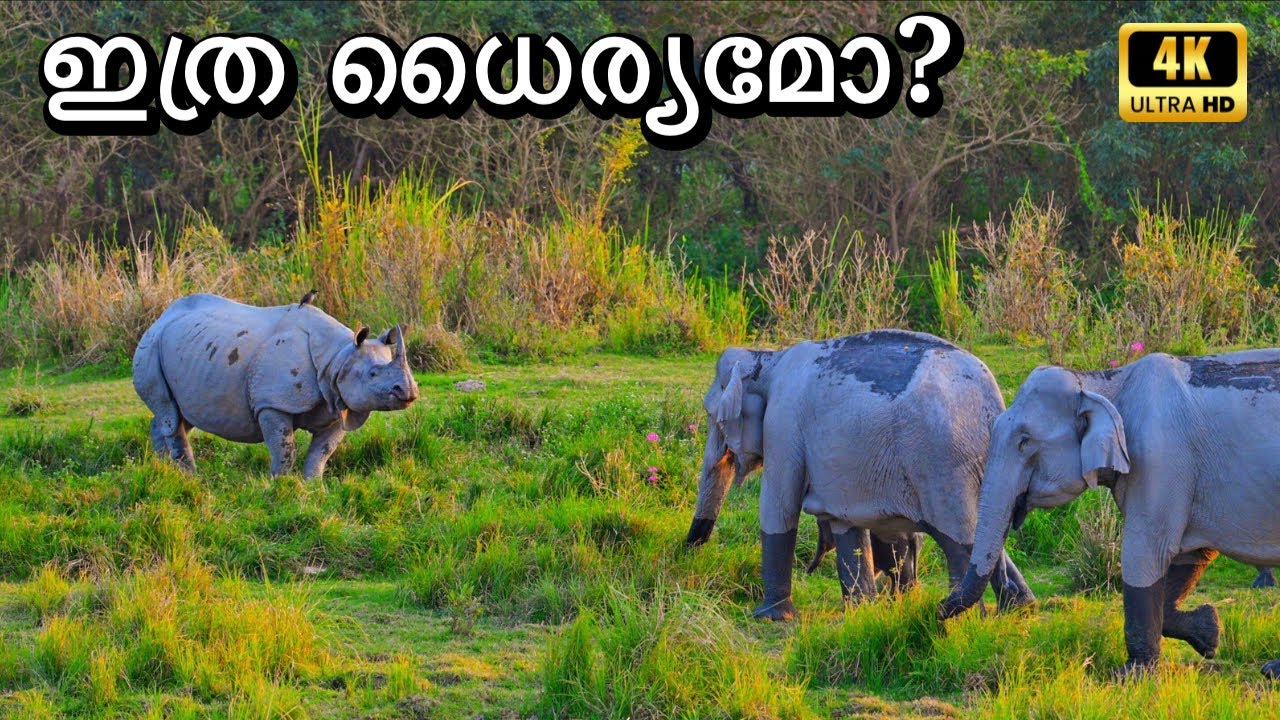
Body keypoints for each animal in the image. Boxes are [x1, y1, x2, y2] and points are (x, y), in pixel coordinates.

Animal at [133, 293, 419, 478]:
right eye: (373, 374)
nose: (409, 392)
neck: (338, 357)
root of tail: (161, 317)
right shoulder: (272, 404)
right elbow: (285, 449)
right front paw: (279, 486)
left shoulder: (338, 403)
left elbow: (322, 453)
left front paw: (314, 488)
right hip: (150, 346)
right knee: (170, 414)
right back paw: (190, 477)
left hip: (188, 349)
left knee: (178, 414)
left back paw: (164, 470)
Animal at [684, 329, 1036, 620]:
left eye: (713, 417)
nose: (688, 554)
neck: (767, 359)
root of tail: (991, 400)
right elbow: (844, 524)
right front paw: (862, 613)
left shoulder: (783, 425)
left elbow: (778, 507)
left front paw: (770, 617)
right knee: (985, 535)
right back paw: (1020, 610)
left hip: (943, 462)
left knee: (959, 538)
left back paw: (963, 620)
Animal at [937, 350, 1280, 677]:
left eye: (1024, 441)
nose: (936, 615)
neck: (1103, 382)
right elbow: (1191, 556)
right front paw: (1210, 632)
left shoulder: (1160, 460)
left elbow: (1146, 552)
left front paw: (1130, 675)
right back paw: (1269, 670)